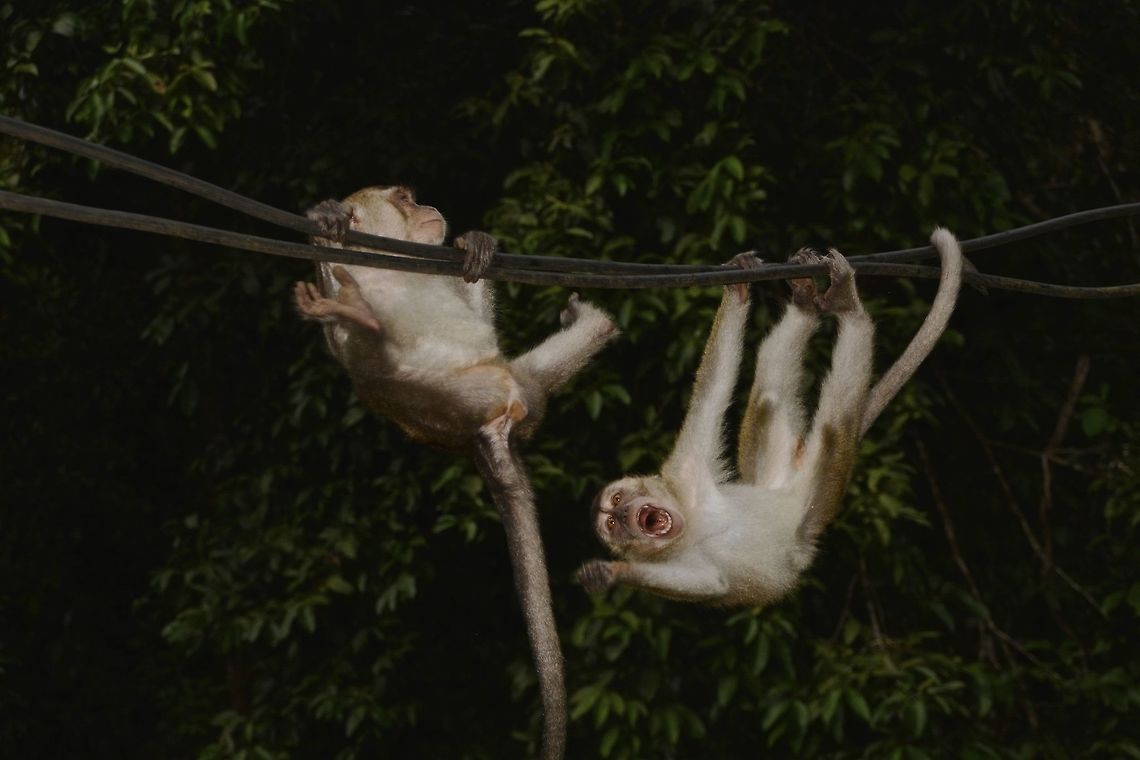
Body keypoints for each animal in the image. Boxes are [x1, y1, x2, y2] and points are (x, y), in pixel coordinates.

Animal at [294, 185, 618, 760]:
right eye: (403, 198)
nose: (428, 209)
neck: (392, 269)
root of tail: (482, 437)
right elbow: (345, 345)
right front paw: (328, 225)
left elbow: (474, 311)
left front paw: (477, 247)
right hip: (451, 402)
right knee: (383, 364)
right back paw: (357, 315)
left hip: (513, 387)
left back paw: (593, 322)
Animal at [576, 228, 963, 606]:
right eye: (611, 526)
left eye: (617, 501)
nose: (622, 516)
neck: (693, 524)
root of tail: (795, 479)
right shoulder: (681, 562)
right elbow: (708, 584)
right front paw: (611, 574)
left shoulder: (686, 471)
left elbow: (714, 390)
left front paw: (737, 288)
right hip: (813, 498)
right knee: (830, 422)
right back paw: (838, 308)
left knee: (779, 395)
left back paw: (822, 303)